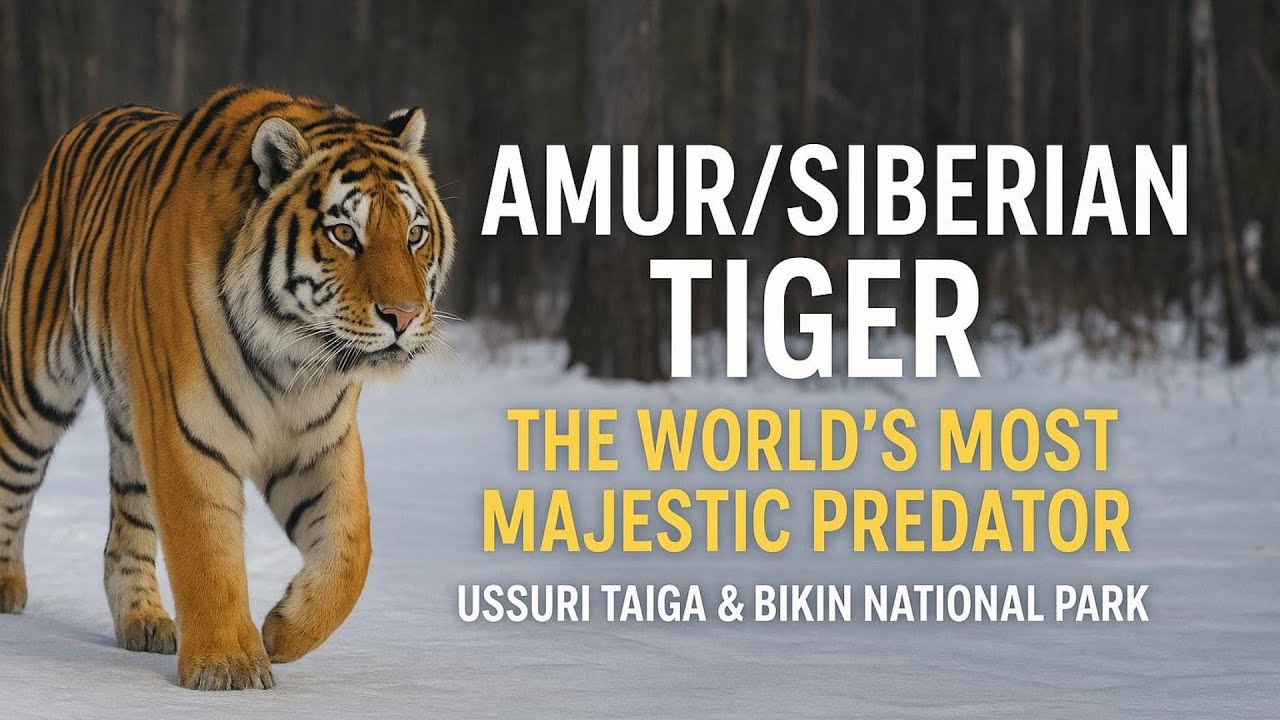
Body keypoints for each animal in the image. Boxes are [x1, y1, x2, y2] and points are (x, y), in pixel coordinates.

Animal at [0, 87, 456, 690]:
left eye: (415, 234)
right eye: (344, 234)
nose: (403, 316)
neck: (290, 357)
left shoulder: (320, 441)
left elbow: (351, 551)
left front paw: (283, 630)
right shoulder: (185, 430)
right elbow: (206, 550)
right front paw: (229, 666)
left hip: (133, 427)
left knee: (127, 526)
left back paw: (144, 620)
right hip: (33, 389)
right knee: (12, 478)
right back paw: (6, 588)